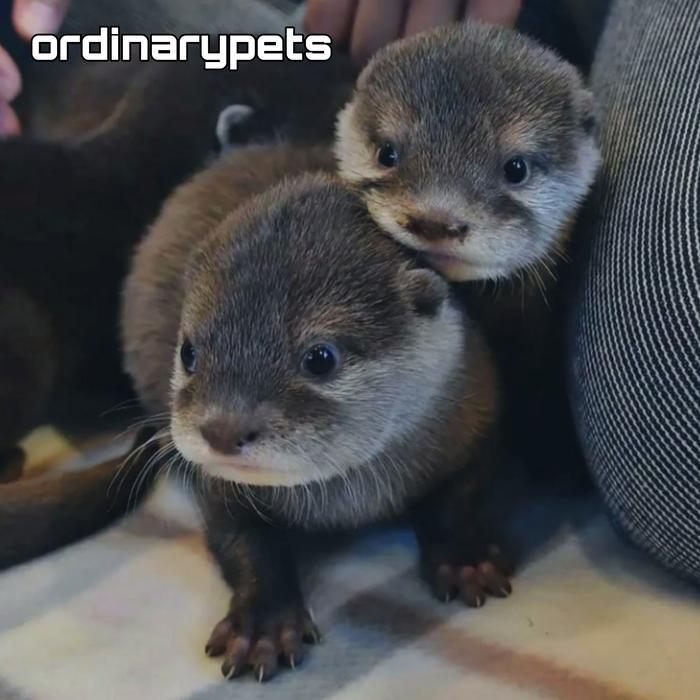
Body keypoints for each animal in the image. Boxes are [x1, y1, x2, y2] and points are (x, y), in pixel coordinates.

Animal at [120, 145, 509, 681]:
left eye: (320, 357)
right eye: (189, 353)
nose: (222, 429)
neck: (346, 499)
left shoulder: (475, 414)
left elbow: (463, 496)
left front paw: (468, 559)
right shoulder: (217, 486)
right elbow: (241, 541)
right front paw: (262, 624)